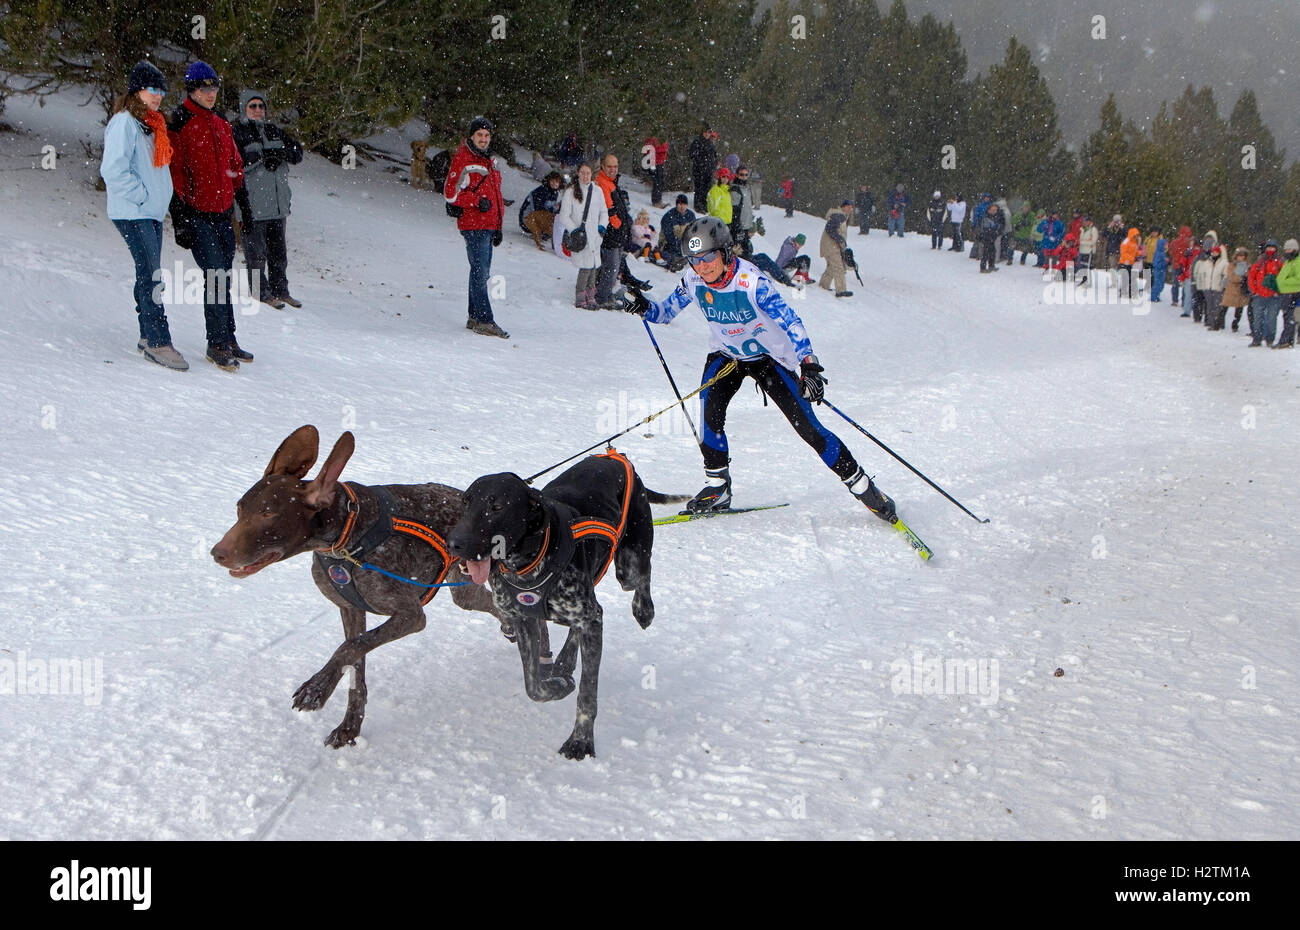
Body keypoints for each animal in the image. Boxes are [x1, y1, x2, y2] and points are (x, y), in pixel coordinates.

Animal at [210, 426, 499, 749]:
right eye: (240, 508)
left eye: (268, 515)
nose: (217, 553)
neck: (345, 536)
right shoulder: (350, 609)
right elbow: (355, 665)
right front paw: (350, 726)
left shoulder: (410, 615)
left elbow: (347, 649)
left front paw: (317, 687)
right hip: (466, 590)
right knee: (493, 604)